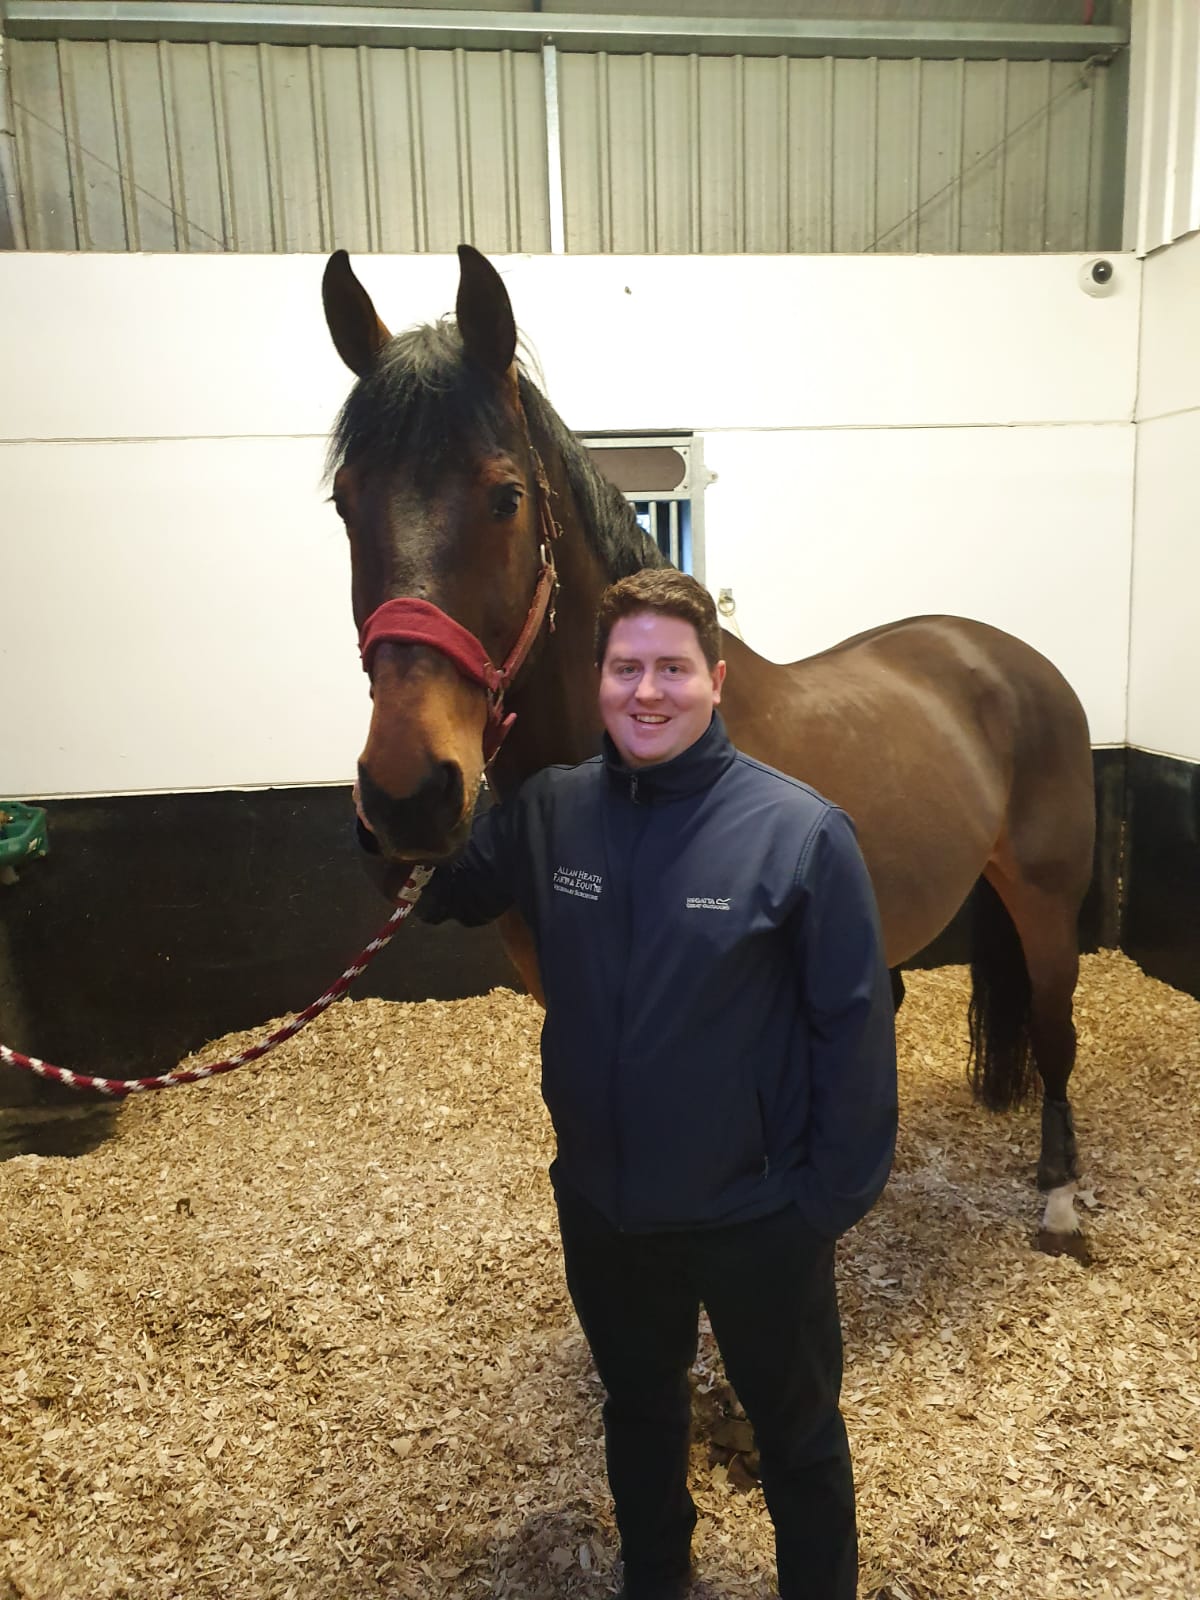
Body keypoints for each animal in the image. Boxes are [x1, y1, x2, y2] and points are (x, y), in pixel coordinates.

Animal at [320, 243, 1100, 1254]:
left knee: (1055, 1032)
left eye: (506, 497)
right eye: (345, 502)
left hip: (1046, 903)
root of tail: (1010, 656)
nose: (407, 794)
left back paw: (1060, 1198)